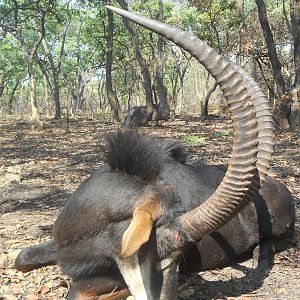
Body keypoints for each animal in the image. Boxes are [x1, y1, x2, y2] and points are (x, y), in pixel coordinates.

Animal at [15, 5, 294, 300]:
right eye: (158, 250)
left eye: (181, 257)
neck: (89, 223)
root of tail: (280, 186)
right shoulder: (62, 247)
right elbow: (22, 257)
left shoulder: (108, 270)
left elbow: (77, 290)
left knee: (276, 240)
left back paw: (256, 255)